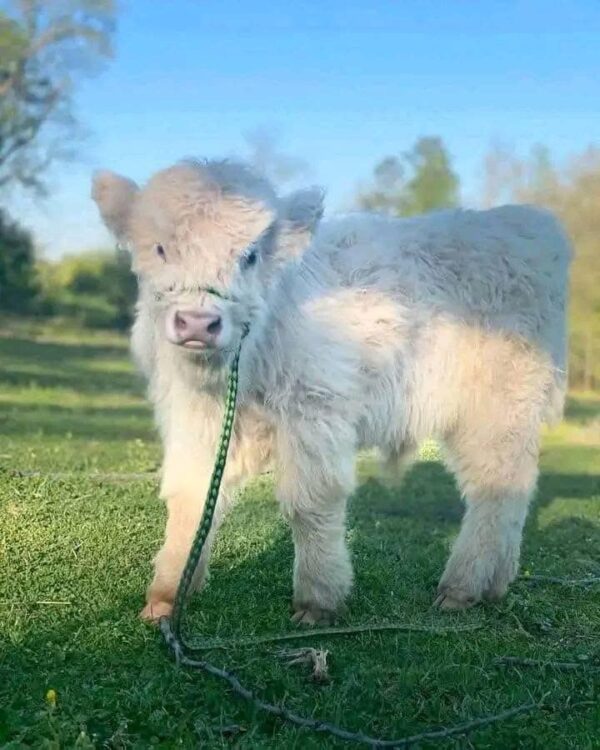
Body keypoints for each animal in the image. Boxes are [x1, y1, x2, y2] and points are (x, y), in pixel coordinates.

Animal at [91, 162, 568, 624]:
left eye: (251, 255)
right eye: (159, 249)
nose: (196, 322)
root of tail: (530, 225)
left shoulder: (314, 410)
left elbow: (310, 503)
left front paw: (318, 599)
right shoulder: (195, 420)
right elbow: (191, 500)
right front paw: (166, 596)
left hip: (499, 406)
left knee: (495, 490)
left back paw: (463, 587)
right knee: (511, 491)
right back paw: (495, 583)